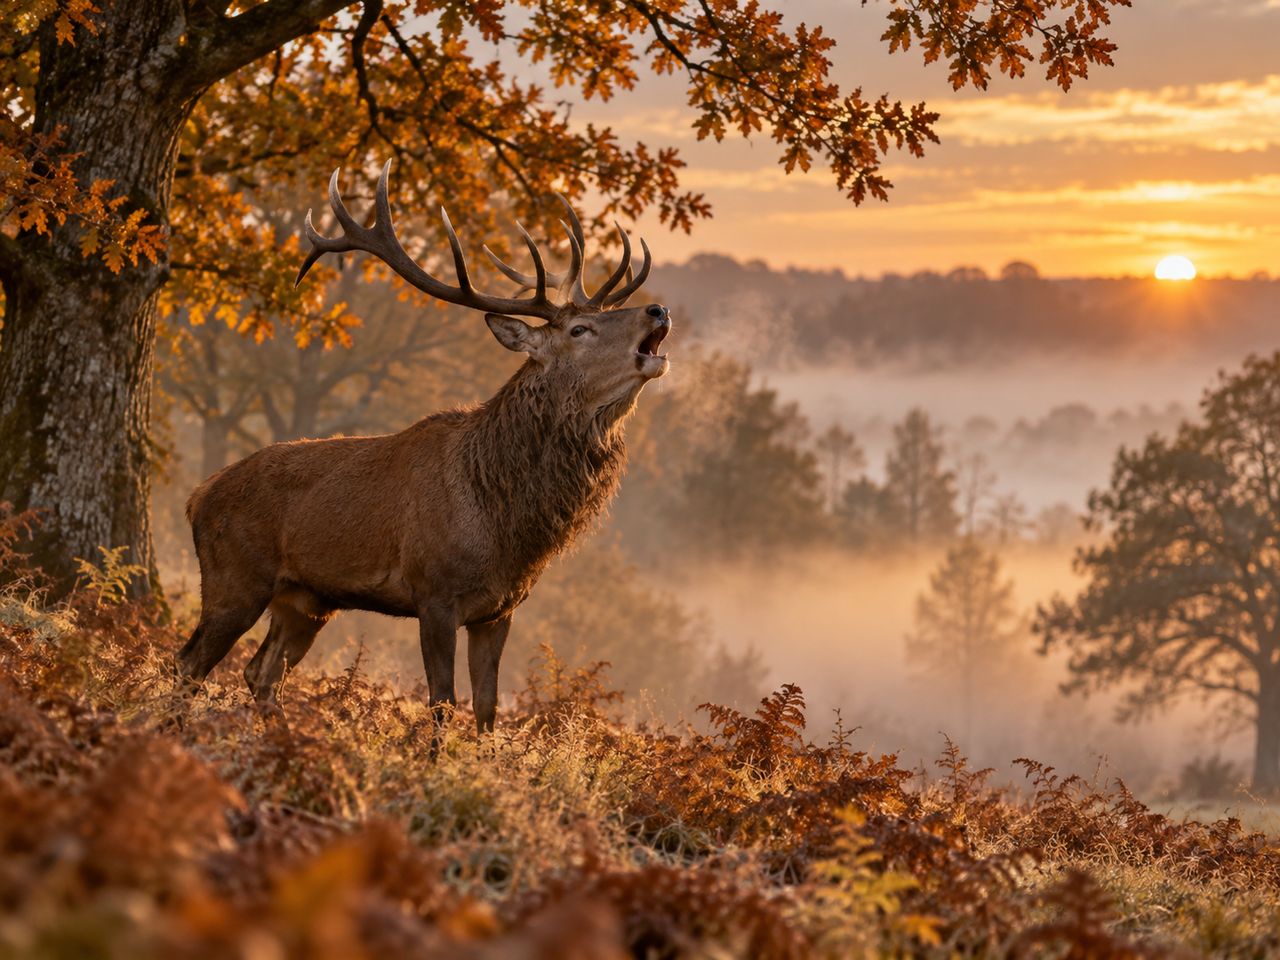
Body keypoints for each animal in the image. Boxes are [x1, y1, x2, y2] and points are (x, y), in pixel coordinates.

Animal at [175, 160, 671, 735]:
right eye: (580, 329)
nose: (658, 310)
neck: (504, 523)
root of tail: (197, 496)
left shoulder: (500, 610)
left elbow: (486, 709)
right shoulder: (434, 593)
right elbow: (441, 703)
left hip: (305, 600)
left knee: (261, 672)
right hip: (235, 576)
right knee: (190, 662)